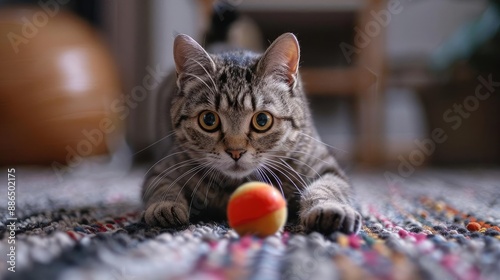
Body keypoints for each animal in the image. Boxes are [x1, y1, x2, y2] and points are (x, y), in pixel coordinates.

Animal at [143, 32, 362, 234]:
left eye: (262, 120)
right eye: (209, 120)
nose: (235, 152)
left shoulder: (325, 166)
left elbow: (328, 187)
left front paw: (328, 208)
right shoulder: (165, 168)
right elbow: (162, 187)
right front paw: (165, 206)